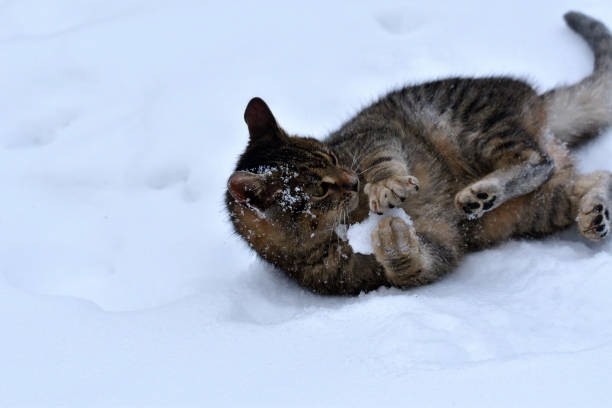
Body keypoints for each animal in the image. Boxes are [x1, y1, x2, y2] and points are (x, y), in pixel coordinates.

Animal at [225, 11, 612, 294]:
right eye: (319, 189)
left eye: (333, 158)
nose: (353, 182)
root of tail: (542, 110)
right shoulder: (412, 257)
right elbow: (414, 268)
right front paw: (394, 242)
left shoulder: (373, 134)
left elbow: (380, 160)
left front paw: (384, 188)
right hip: (528, 212)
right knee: (590, 176)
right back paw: (593, 214)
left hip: (464, 126)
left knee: (537, 160)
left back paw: (480, 193)